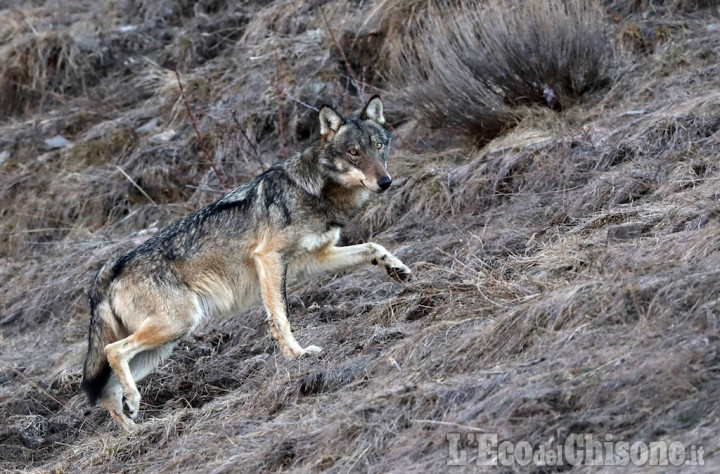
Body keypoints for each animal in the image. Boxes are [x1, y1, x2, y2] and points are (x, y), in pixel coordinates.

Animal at [80, 94, 410, 432]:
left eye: (378, 146)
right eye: (354, 152)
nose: (385, 181)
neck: (315, 190)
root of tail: (109, 269)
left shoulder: (318, 258)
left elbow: (373, 246)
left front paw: (397, 269)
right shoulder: (269, 259)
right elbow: (280, 318)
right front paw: (297, 354)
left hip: (165, 343)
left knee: (108, 390)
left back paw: (136, 429)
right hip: (175, 326)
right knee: (112, 352)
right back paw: (134, 406)